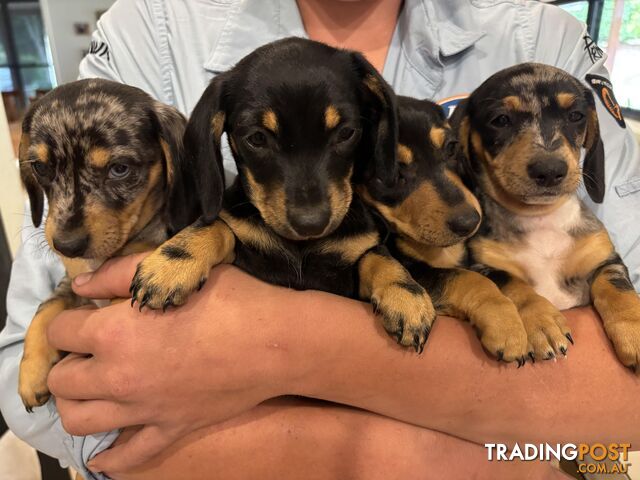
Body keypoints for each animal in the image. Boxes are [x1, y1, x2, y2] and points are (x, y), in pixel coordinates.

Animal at [17, 79, 192, 408]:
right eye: (41, 168)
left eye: (119, 168)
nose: (67, 245)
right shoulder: (72, 283)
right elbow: (45, 308)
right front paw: (31, 372)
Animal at [130, 37, 436, 350]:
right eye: (256, 138)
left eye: (346, 133)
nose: (311, 224)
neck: (301, 248)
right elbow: (216, 225)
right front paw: (172, 263)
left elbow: (378, 256)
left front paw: (407, 296)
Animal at [360, 97, 528, 364]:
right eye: (393, 174)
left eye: (451, 147)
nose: (469, 222)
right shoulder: (420, 271)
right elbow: (468, 278)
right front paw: (507, 326)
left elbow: (504, 276)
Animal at [456, 62, 640, 368]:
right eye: (501, 120)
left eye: (575, 116)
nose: (550, 170)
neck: (539, 217)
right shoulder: (485, 266)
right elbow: (516, 285)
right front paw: (541, 321)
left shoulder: (605, 261)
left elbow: (619, 291)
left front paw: (634, 330)